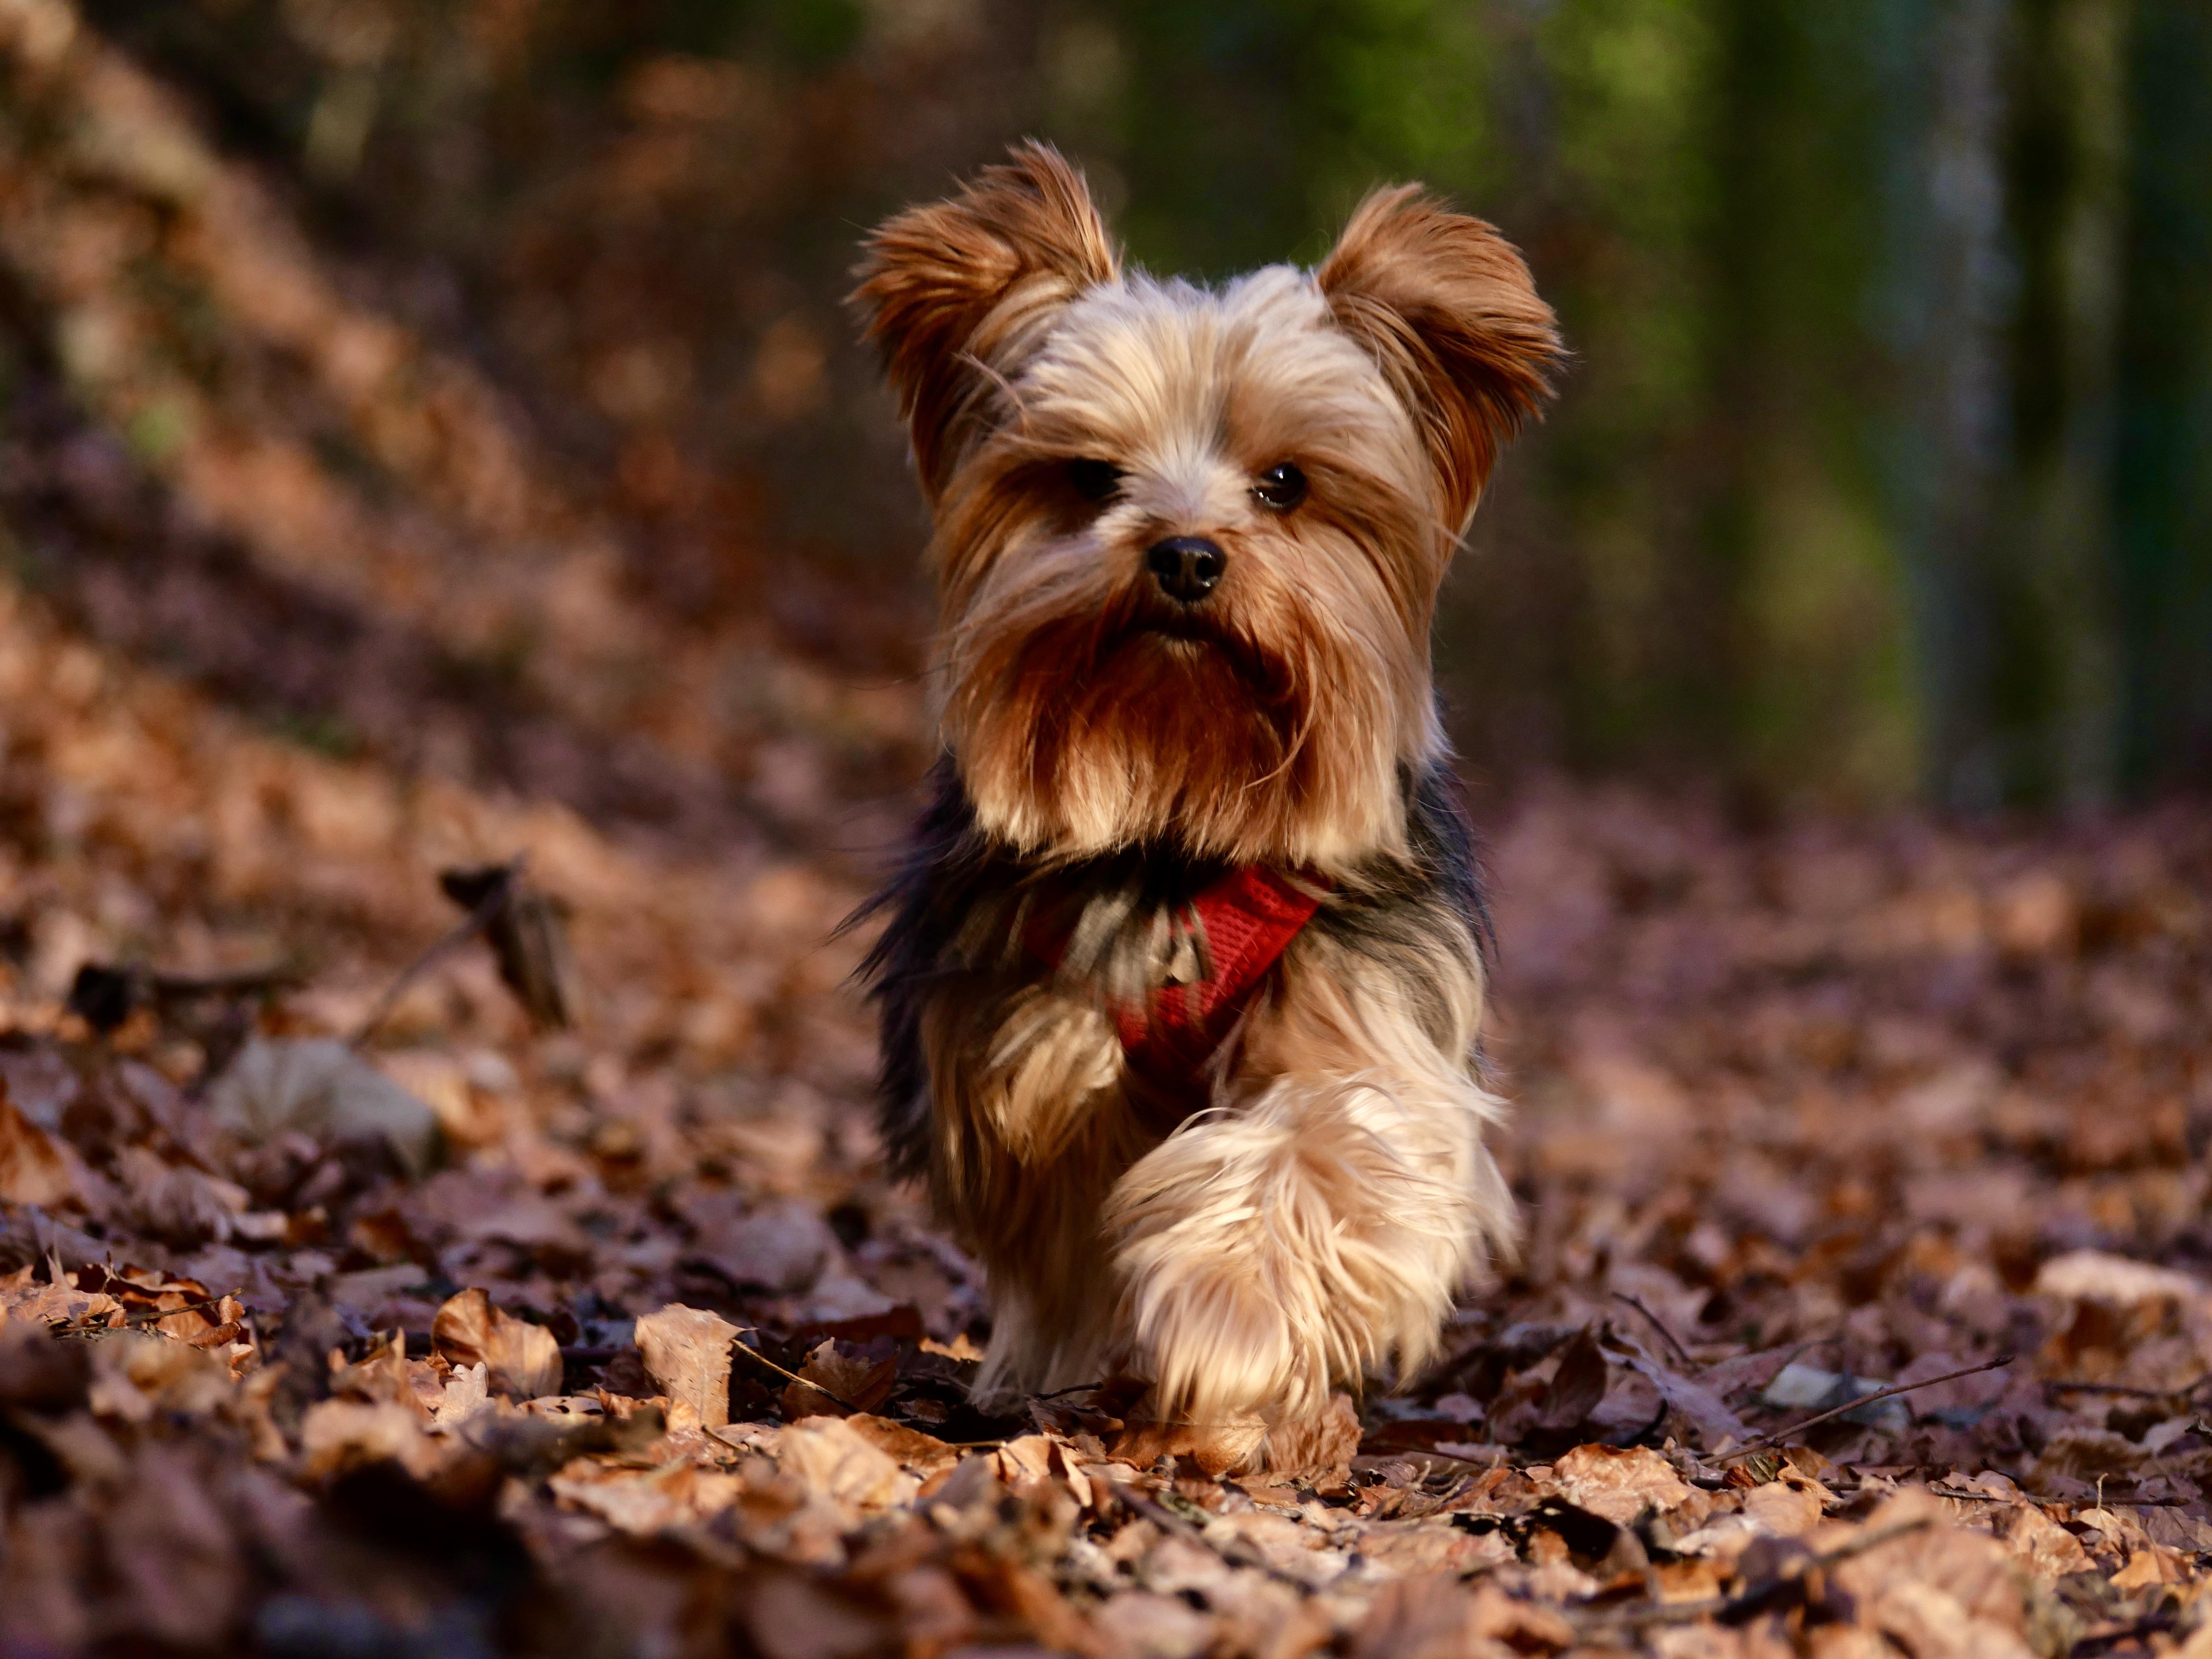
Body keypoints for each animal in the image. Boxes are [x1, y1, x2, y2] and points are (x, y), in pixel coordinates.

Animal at [845, 143, 1557, 1469]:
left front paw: (1227, 1319)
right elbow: (1056, 1163)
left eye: (1284, 484)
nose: (1183, 554)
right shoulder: (1009, 1015)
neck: (1180, 826)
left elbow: (1326, 1140)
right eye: (1089, 477)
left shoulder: (1374, 1016)